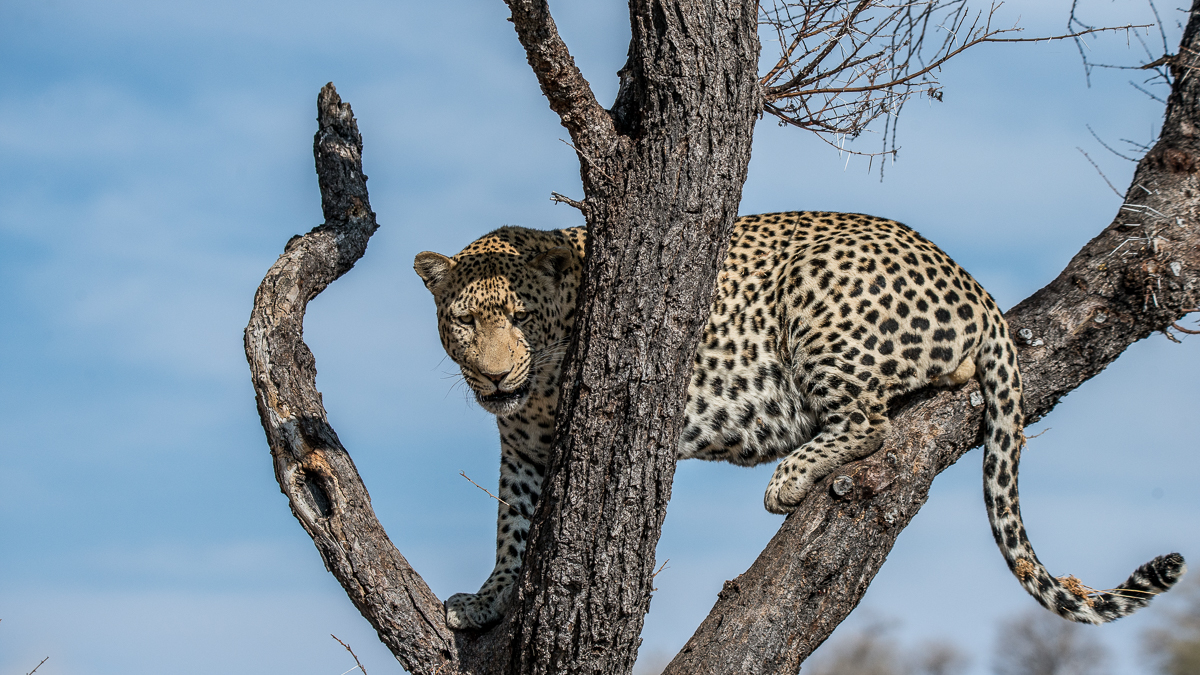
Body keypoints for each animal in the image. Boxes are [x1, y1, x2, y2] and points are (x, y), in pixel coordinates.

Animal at [417, 208, 1185, 624]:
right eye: (463, 320)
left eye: (520, 316)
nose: (493, 373)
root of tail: (974, 284)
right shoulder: (521, 450)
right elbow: (509, 530)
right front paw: (486, 598)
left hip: (813, 288)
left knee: (871, 419)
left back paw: (790, 477)